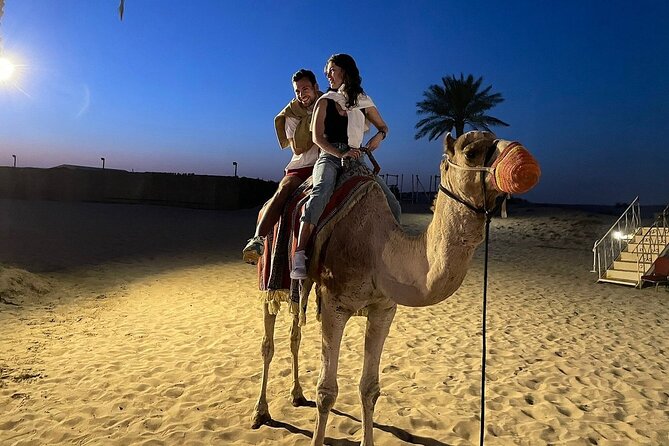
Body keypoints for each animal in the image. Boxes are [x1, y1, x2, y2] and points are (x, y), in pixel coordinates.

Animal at [252, 131, 540, 445]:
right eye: (471, 152)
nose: (525, 163)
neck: (377, 247)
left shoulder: (383, 309)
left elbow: (369, 388)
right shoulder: (333, 305)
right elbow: (327, 392)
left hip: (302, 287)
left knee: (295, 334)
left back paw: (296, 394)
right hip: (269, 274)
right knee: (268, 342)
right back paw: (260, 412)